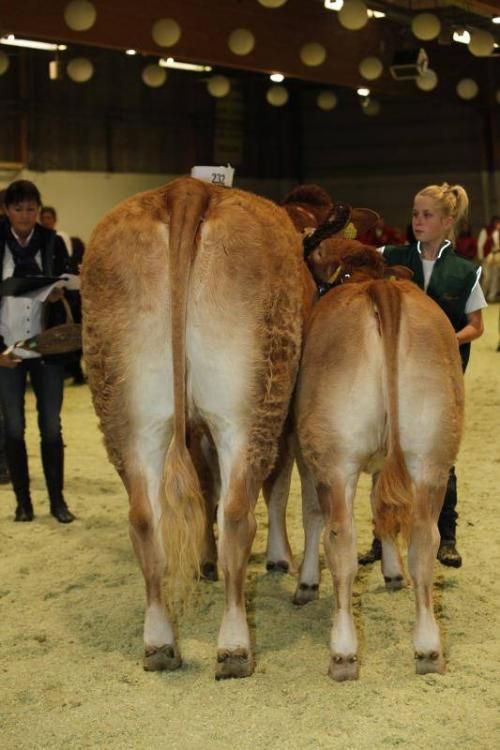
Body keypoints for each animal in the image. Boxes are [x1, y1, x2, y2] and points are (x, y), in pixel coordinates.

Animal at [81, 178, 308, 680]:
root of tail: (186, 189)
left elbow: (203, 492)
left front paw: (203, 559)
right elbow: (268, 489)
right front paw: (275, 558)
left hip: (128, 411)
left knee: (145, 518)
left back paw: (160, 644)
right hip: (251, 405)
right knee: (238, 514)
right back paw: (235, 648)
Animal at [292, 239, 464, 680]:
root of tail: (380, 289)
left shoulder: (305, 452)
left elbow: (312, 514)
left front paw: (306, 584)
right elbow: (380, 507)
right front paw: (392, 571)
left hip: (335, 459)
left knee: (341, 539)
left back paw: (343, 652)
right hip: (431, 456)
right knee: (424, 539)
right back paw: (428, 649)